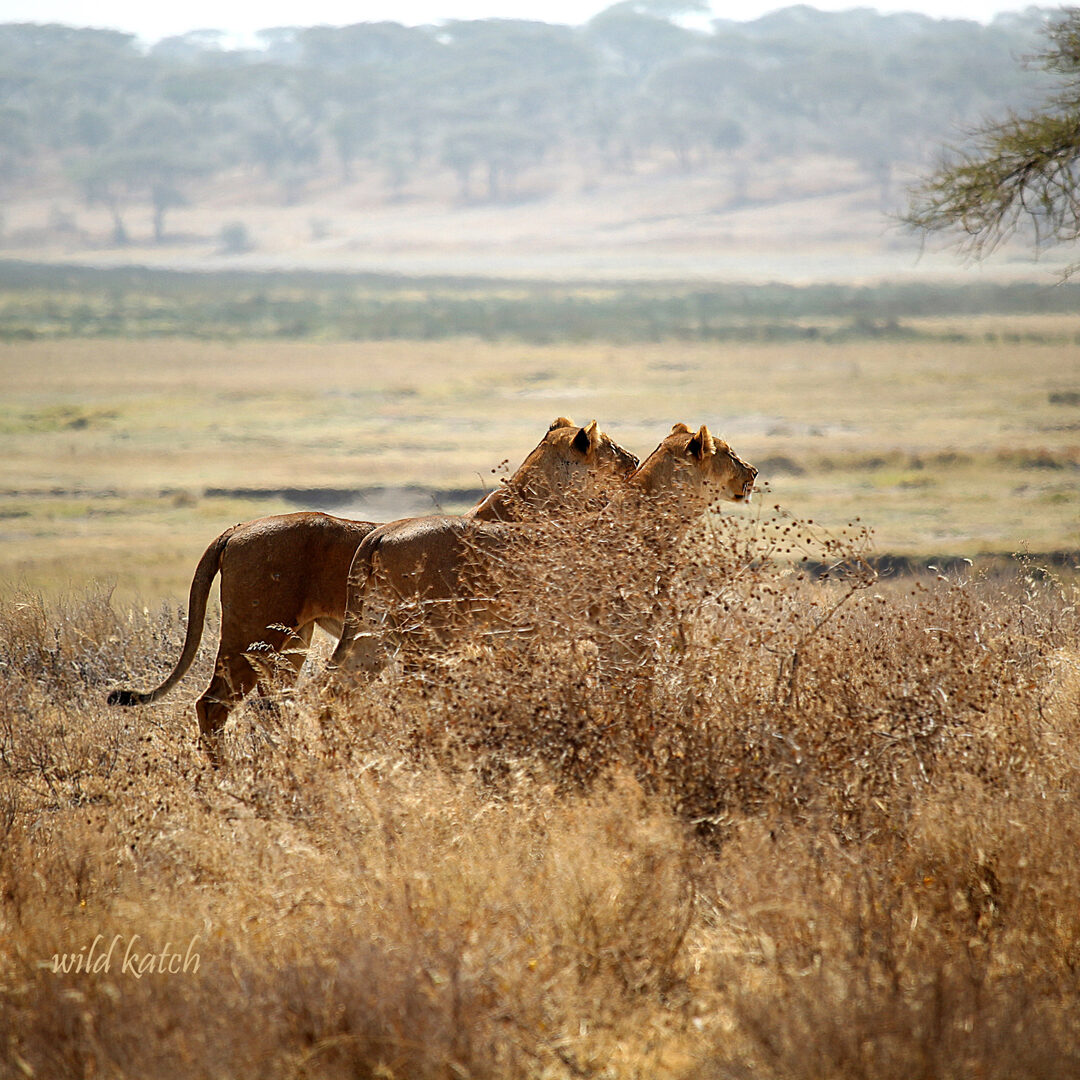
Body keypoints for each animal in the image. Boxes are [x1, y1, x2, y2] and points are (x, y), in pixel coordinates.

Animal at [107, 416, 630, 747]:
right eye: (616, 450)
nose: (633, 462)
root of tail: (235, 529)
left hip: (291, 642)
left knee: (271, 704)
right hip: (252, 629)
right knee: (213, 704)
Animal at [332, 421, 756, 673]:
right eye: (730, 454)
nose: (752, 472)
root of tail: (380, 533)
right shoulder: (625, 633)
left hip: (371, 631)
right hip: (427, 637)